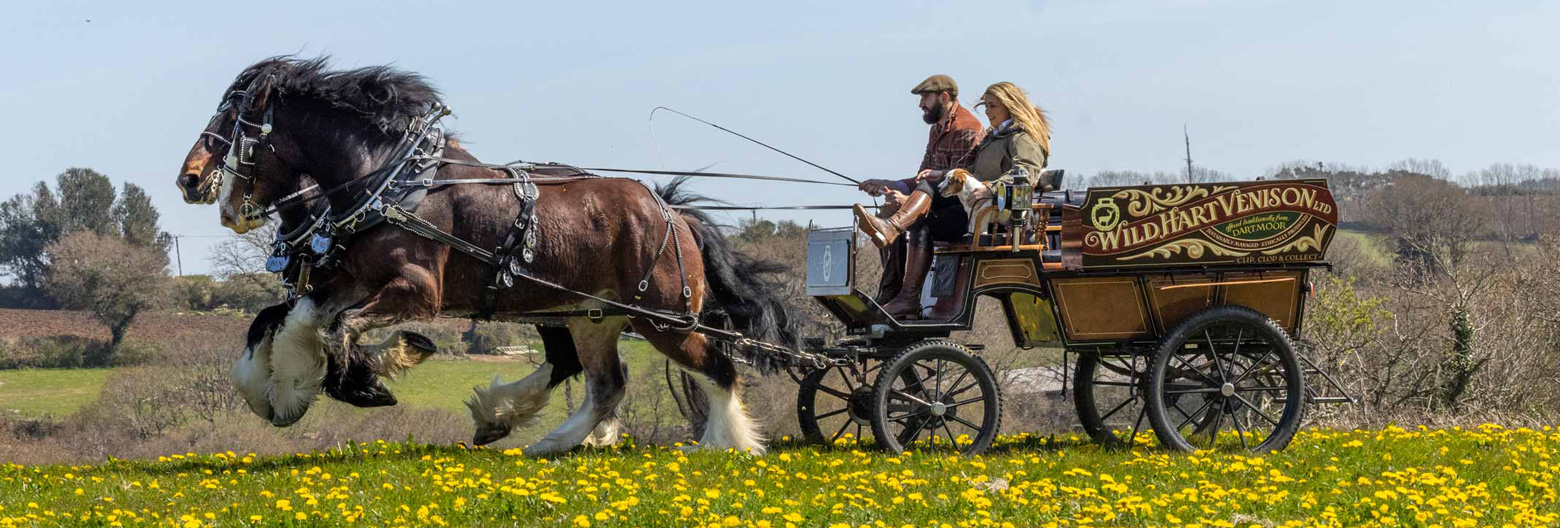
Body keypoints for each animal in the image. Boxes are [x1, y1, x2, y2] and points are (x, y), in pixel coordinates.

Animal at [175, 57, 797, 455]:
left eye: (234, 126)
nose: (192, 181)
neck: (391, 184)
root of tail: (671, 213)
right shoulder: (349, 278)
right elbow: (293, 321)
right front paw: (288, 391)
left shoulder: (415, 290)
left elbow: (336, 330)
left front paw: (370, 379)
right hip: (593, 316)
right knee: (605, 382)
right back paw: (545, 438)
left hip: (661, 317)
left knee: (716, 366)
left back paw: (727, 444)